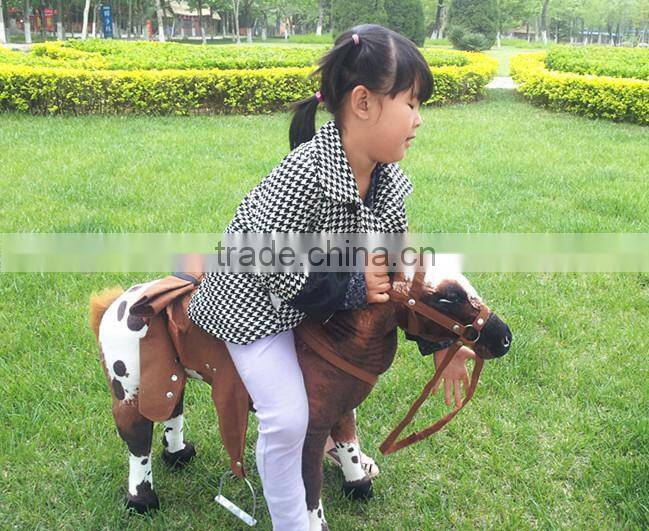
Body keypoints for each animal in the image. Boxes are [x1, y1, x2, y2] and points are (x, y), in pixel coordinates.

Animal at [89, 268, 512, 529]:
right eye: (447, 297)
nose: (504, 338)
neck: (332, 340)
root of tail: (116, 303)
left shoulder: (340, 409)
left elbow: (348, 444)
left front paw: (358, 485)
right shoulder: (307, 431)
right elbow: (308, 483)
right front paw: (314, 522)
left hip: (168, 377)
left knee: (170, 408)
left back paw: (178, 455)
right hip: (127, 387)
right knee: (136, 435)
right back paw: (142, 500)